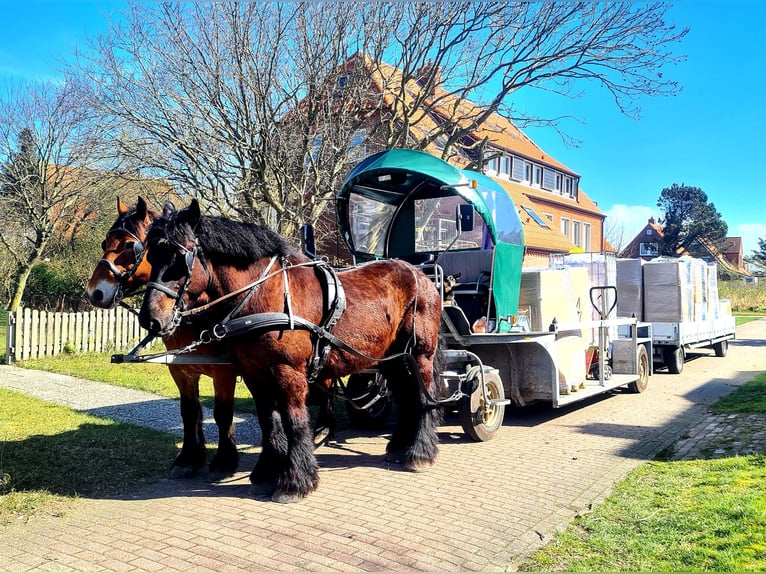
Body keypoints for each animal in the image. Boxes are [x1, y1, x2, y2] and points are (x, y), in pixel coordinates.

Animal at [85, 198, 240, 482]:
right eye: (104, 243)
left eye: (130, 245)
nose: (96, 292)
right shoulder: (180, 369)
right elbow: (189, 411)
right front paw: (189, 458)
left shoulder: (225, 369)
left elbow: (223, 413)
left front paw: (225, 461)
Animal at [138, 201, 444, 504]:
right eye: (151, 255)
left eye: (181, 258)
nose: (150, 319)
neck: (262, 294)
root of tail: (420, 274)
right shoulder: (254, 374)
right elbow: (269, 421)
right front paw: (266, 473)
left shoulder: (288, 371)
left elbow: (294, 422)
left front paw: (295, 482)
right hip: (391, 358)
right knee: (405, 394)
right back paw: (399, 446)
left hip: (420, 354)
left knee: (423, 395)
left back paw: (420, 452)